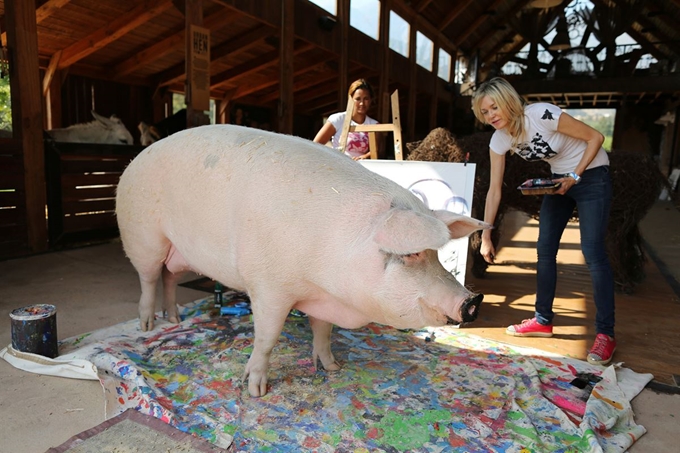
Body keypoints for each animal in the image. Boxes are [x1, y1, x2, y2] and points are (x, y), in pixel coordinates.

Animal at [115, 124, 488, 396]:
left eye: (434, 255)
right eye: (411, 254)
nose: (472, 300)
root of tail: (136, 159)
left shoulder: (322, 297)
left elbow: (322, 332)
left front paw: (334, 368)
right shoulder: (268, 286)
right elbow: (266, 338)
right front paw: (256, 391)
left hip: (174, 250)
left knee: (168, 277)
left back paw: (174, 319)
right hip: (142, 236)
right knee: (148, 278)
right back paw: (148, 325)